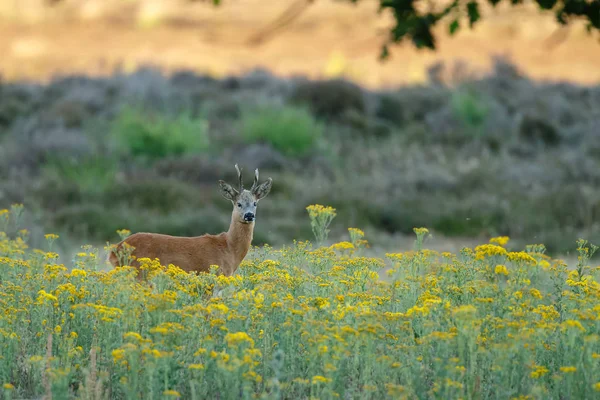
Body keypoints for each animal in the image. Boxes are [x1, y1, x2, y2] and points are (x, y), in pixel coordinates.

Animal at [109, 164, 274, 276]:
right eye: (238, 203)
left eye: (255, 203)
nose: (249, 215)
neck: (228, 248)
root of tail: (114, 251)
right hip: (139, 272)